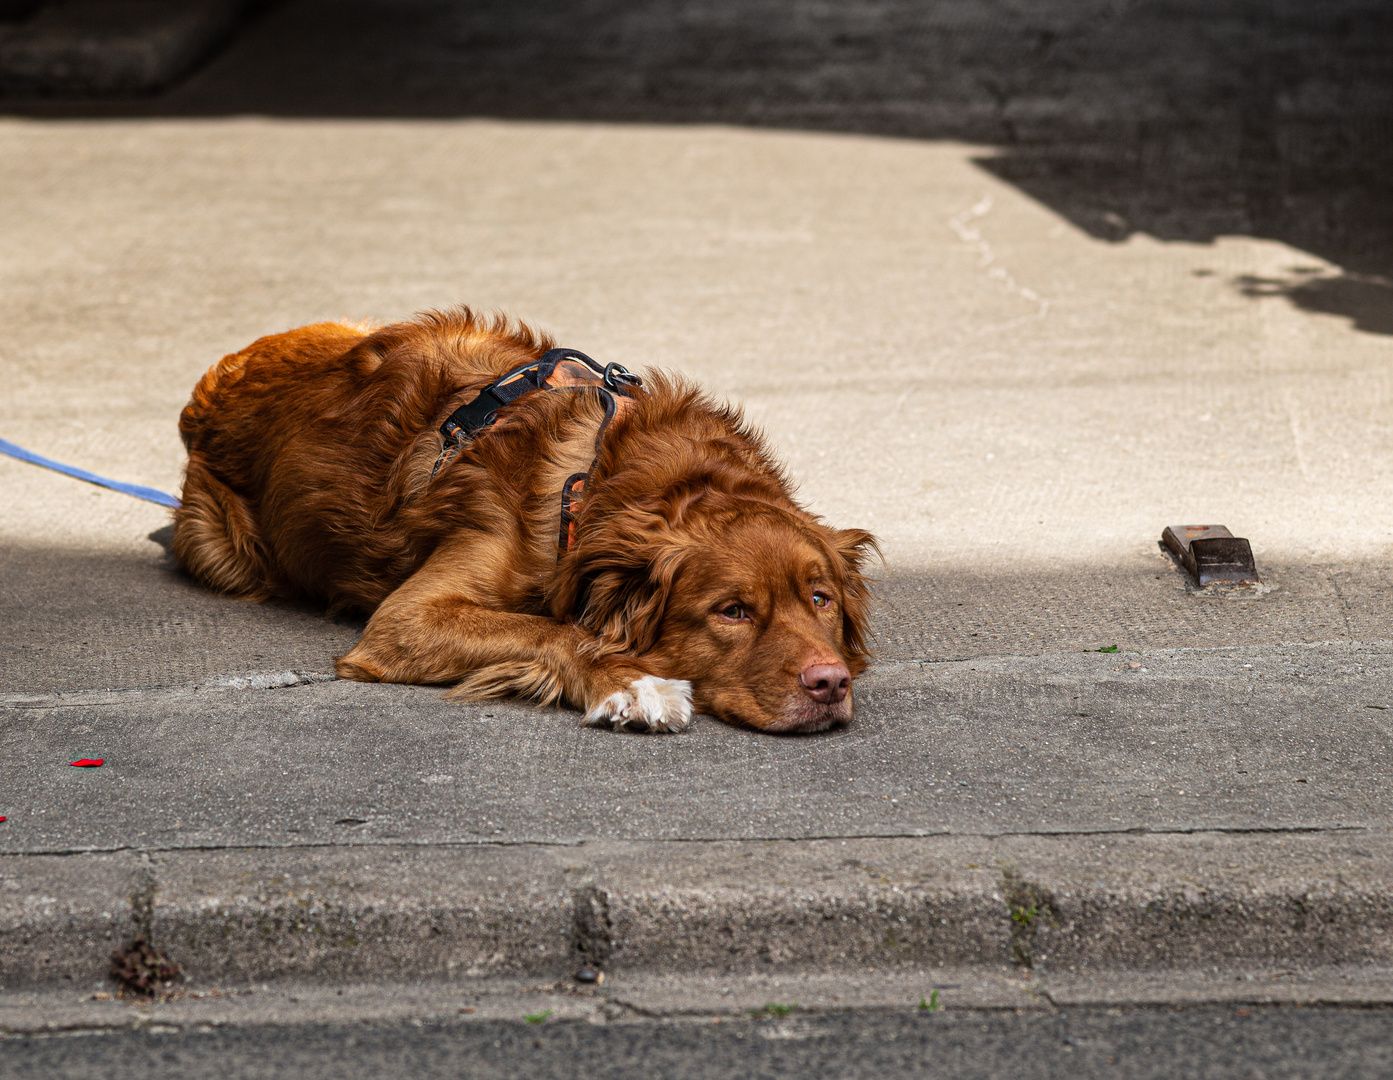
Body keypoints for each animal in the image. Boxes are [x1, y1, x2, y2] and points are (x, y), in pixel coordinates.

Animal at [171, 312, 869, 735]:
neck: (599, 481)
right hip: (221, 545)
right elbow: (552, 631)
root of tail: (213, 382)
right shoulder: (405, 621)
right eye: (732, 611)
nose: (829, 683)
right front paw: (633, 682)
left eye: (820, 599)